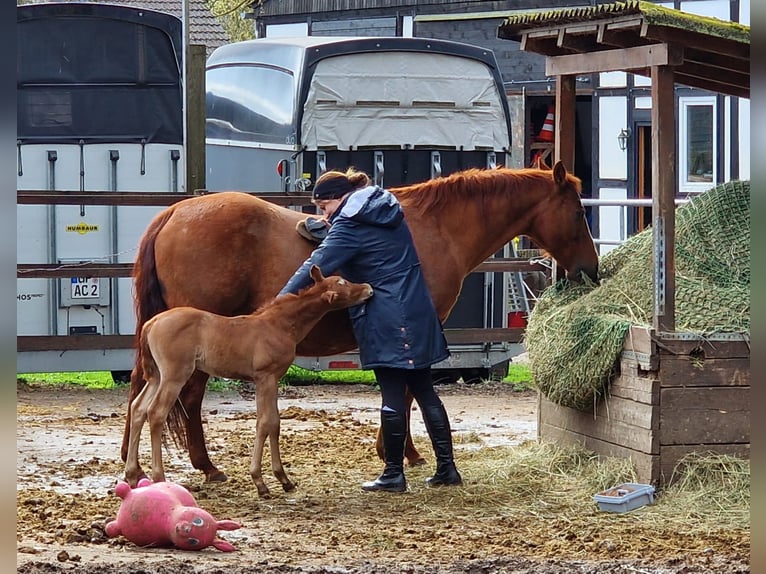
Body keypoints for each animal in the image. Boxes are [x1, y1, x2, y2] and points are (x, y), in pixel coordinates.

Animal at [124, 268, 374, 498]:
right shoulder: (265, 377)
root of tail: (152, 322)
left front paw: (284, 479)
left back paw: (132, 474)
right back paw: (159, 478)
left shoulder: (273, 379)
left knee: (138, 408)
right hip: (174, 375)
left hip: (156, 376)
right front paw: (260, 482)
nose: (368, 289)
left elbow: (275, 423)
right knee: (156, 412)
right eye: (342, 283)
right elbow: (265, 422)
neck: (278, 325)